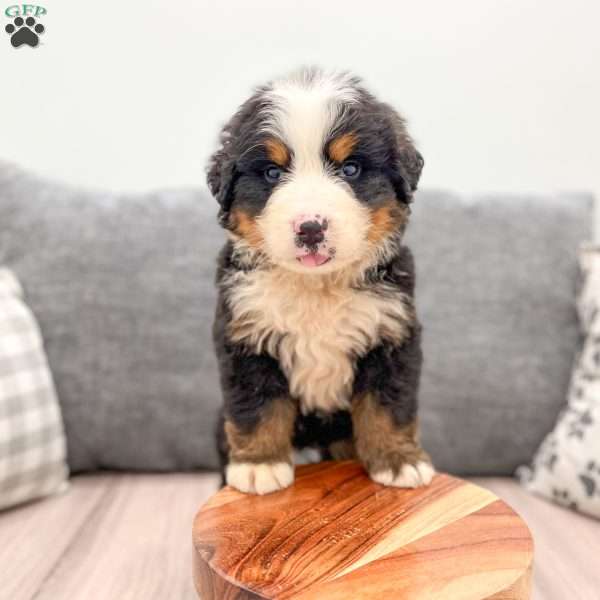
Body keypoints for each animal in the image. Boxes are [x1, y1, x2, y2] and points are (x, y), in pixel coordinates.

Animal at [209, 68, 434, 494]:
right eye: (272, 172)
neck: (317, 288)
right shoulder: (246, 338)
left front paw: (399, 462)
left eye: (350, 169)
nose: (310, 227)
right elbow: (257, 406)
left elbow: (388, 405)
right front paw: (260, 464)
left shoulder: (392, 335)